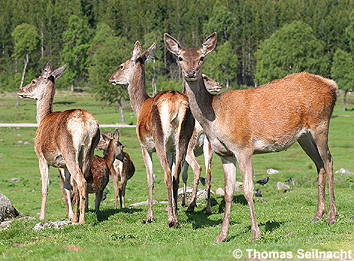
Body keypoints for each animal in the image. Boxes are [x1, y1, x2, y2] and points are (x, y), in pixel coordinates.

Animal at [17, 63, 99, 223]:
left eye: (34, 81)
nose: (20, 90)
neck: (42, 119)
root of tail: (86, 123)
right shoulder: (62, 165)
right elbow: (66, 187)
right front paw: (69, 215)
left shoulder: (41, 157)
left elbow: (45, 186)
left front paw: (41, 217)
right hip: (89, 151)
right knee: (82, 181)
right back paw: (76, 217)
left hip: (69, 151)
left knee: (80, 181)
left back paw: (81, 220)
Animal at [110, 41, 195, 225]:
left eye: (121, 65)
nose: (111, 77)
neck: (139, 105)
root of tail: (176, 103)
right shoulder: (171, 149)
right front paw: (171, 209)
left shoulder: (144, 146)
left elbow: (151, 178)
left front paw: (149, 216)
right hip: (183, 138)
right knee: (175, 175)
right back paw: (176, 216)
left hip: (159, 138)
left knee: (167, 175)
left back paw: (171, 220)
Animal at [165, 33, 338, 242]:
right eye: (180, 58)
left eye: (202, 58)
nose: (191, 73)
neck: (215, 117)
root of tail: (332, 85)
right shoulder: (225, 154)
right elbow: (229, 192)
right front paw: (222, 235)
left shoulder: (243, 147)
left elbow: (248, 189)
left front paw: (255, 233)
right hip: (304, 136)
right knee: (319, 164)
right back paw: (317, 215)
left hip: (321, 124)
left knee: (329, 161)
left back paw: (332, 216)